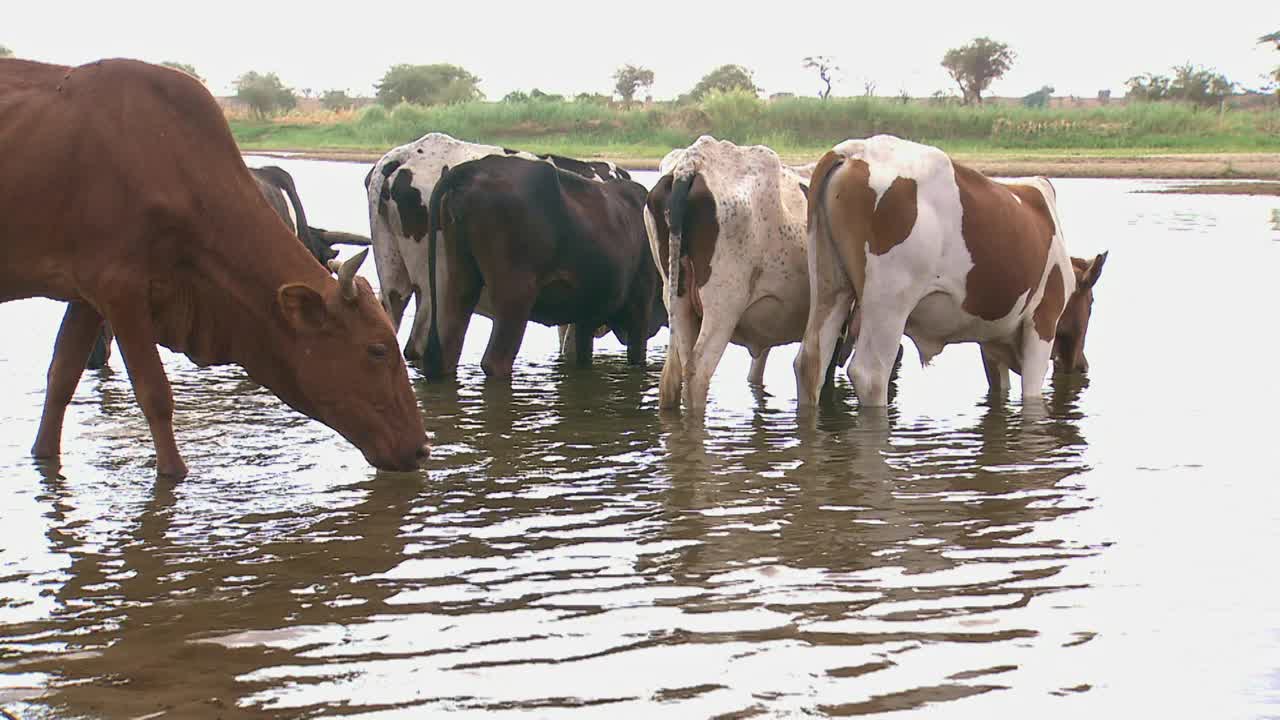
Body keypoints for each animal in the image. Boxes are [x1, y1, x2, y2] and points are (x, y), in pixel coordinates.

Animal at [0, 58, 430, 474]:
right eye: (377, 350)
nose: (422, 449)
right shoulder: (119, 289)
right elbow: (155, 393)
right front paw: (173, 473)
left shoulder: (87, 294)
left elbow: (61, 378)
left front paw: (43, 457)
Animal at [422, 151, 665, 376]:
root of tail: (473, 168)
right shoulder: (639, 309)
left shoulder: (586, 317)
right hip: (516, 295)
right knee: (496, 361)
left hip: (461, 281)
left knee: (449, 348)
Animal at [793, 133, 1105, 404]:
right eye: (1091, 303)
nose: (1083, 365)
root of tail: (855, 151)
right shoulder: (1042, 323)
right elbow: (1031, 395)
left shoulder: (991, 340)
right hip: (888, 303)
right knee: (870, 375)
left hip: (829, 284)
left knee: (810, 363)